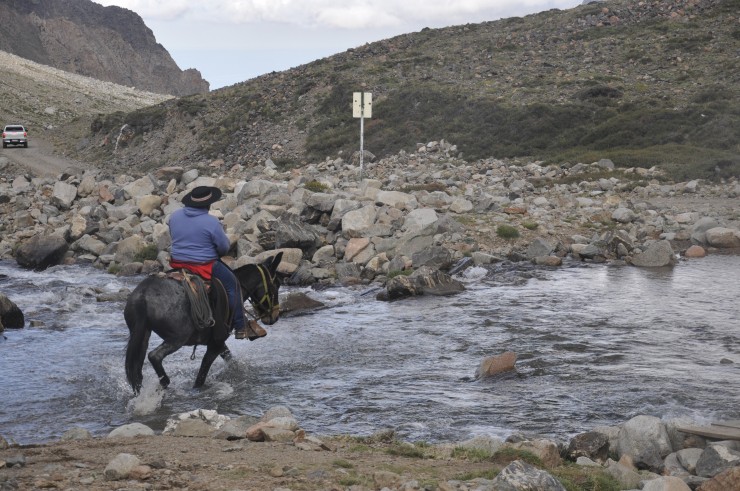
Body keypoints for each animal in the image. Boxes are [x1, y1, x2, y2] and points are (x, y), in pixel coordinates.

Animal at [124, 254, 280, 396]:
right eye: (276, 285)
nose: (275, 316)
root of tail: (143, 295)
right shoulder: (216, 343)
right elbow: (202, 374)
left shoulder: (216, 342)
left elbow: (229, 358)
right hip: (177, 338)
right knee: (154, 356)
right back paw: (164, 382)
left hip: (142, 335)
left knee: (137, 368)